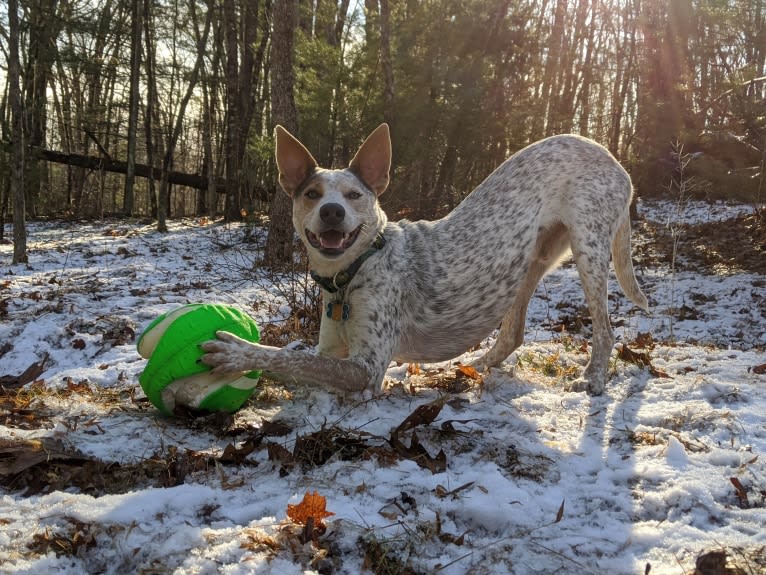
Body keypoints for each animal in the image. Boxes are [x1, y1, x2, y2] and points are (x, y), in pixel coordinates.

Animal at [201, 125, 652, 396]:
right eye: (311, 194)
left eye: (354, 195)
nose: (331, 212)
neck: (353, 273)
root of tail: (614, 159)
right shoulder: (332, 350)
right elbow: (297, 358)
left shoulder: (366, 368)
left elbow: (284, 357)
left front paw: (237, 352)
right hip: (529, 262)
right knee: (512, 333)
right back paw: (474, 367)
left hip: (588, 248)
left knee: (606, 330)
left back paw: (594, 379)